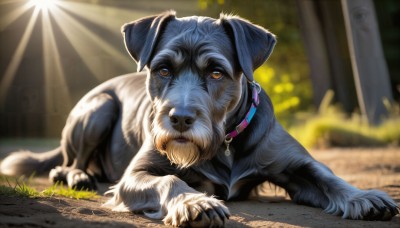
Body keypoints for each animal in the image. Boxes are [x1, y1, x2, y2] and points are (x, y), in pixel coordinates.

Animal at [1, 10, 398, 226]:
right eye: (162, 69)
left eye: (217, 72)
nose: (179, 118)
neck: (224, 143)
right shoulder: (135, 175)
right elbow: (171, 181)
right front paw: (196, 202)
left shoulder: (294, 164)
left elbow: (328, 176)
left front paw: (364, 197)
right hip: (98, 108)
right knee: (67, 163)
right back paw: (79, 175)